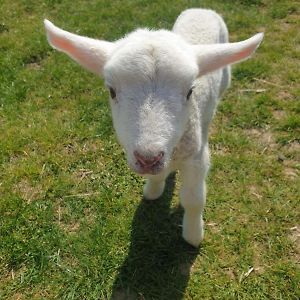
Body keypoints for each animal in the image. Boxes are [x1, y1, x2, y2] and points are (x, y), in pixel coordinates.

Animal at [44, 8, 262, 247]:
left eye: (190, 91)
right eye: (111, 91)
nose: (148, 159)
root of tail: (201, 9)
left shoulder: (196, 157)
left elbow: (194, 199)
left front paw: (193, 235)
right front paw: (153, 189)